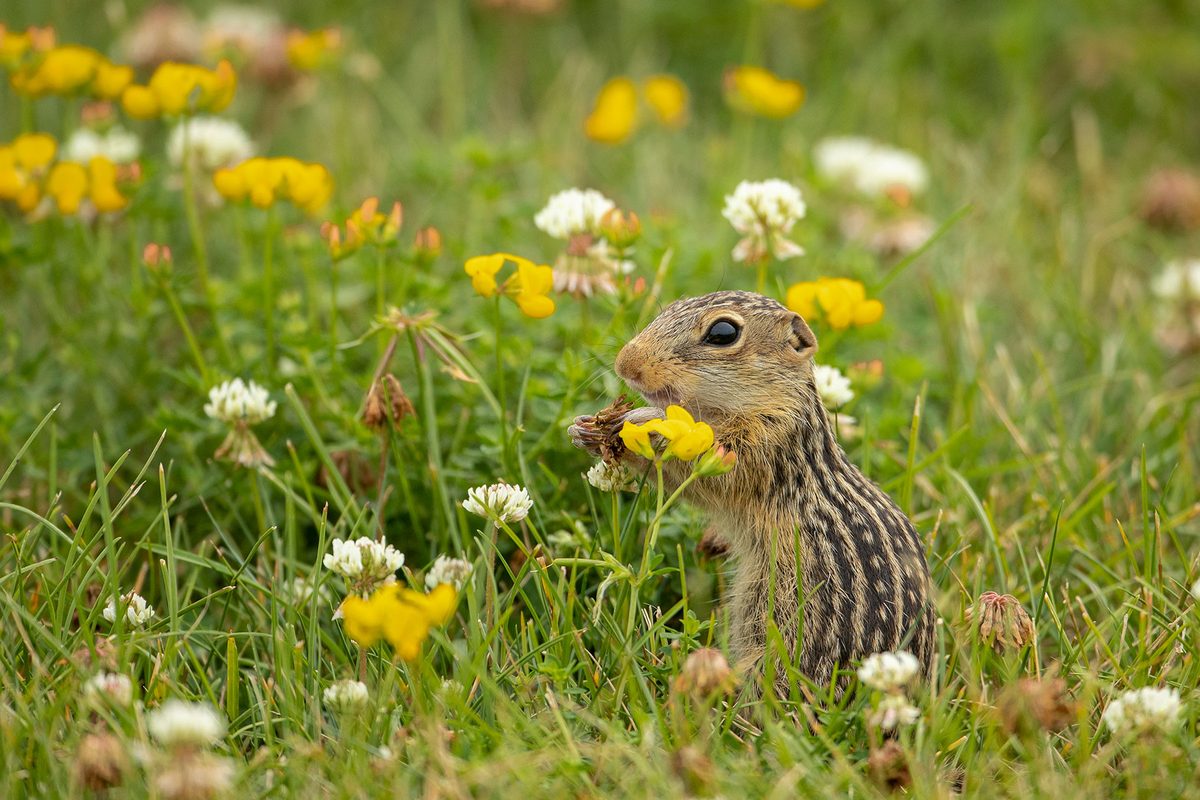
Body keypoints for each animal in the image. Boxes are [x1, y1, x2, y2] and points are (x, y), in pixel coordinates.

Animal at [570, 290, 936, 696]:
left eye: (723, 332)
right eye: (670, 307)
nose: (625, 364)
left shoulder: (761, 448)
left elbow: (704, 474)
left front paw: (637, 422)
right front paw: (586, 428)